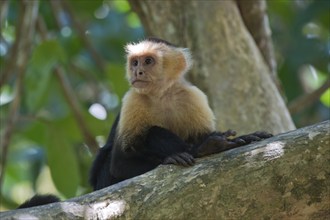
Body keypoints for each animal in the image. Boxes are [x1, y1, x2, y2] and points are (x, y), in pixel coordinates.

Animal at [16, 37, 272, 208]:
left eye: (148, 61)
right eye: (135, 63)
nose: (137, 72)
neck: (161, 95)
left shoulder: (193, 96)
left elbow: (204, 130)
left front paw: (240, 138)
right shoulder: (132, 100)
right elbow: (119, 163)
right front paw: (185, 154)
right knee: (150, 134)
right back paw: (201, 149)